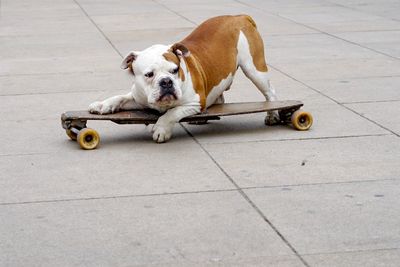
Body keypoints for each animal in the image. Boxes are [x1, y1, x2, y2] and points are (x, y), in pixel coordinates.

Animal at [89, 15, 280, 142]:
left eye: (175, 70)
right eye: (149, 74)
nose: (166, 82)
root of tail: (239, 16)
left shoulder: (195, 102)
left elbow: (173, 113)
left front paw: (161, 128)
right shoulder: (139, 97)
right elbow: (120, 97)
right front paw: (103, 104)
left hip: (254, 68)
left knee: (270, 93)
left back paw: (272, 115)